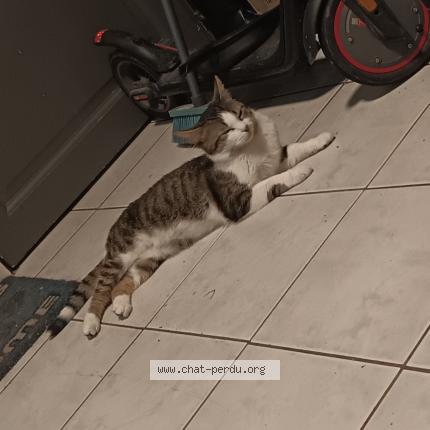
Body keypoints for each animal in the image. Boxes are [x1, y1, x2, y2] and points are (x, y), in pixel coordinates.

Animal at [48, 76, 334, 338]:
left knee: (123, 283)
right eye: (226, 132)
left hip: (150, 259)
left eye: (240, 113)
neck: (252, 148)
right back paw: (90, 323)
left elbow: (294, 149)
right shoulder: (236, 201)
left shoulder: (275, 159)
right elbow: (273, 181)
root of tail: (112, 235)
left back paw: (121, 304)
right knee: (101, 289)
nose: (244, 127)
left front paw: (322, 138)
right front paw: (301, 171)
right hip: (121, 256)